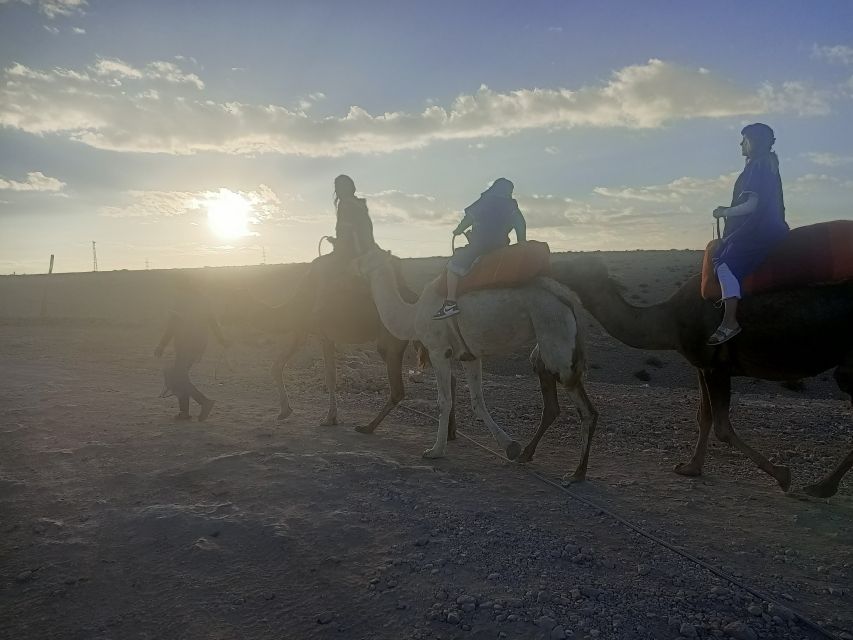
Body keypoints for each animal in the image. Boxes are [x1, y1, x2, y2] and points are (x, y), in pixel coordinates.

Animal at [352, 248, 600, 482]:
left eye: (368, 257)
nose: (355, 265)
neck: (411, 316)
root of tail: (567, 299)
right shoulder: (469, 356)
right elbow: (477, 402)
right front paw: (510, 446)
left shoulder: (438, 350)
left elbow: (444, 402)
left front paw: (435, 450)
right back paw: (534, 457)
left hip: (555, 338)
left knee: (584, 407)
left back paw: (577, 473)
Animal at [544, 258, 852, 498]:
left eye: (574, 262)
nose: (550, 260)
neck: (669, 320)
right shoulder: (703, 366)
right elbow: (703, 417)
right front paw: (691, 468)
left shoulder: (717, 367)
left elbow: (722, 427)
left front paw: (783, 475)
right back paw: (824, 487)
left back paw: (821, 487)